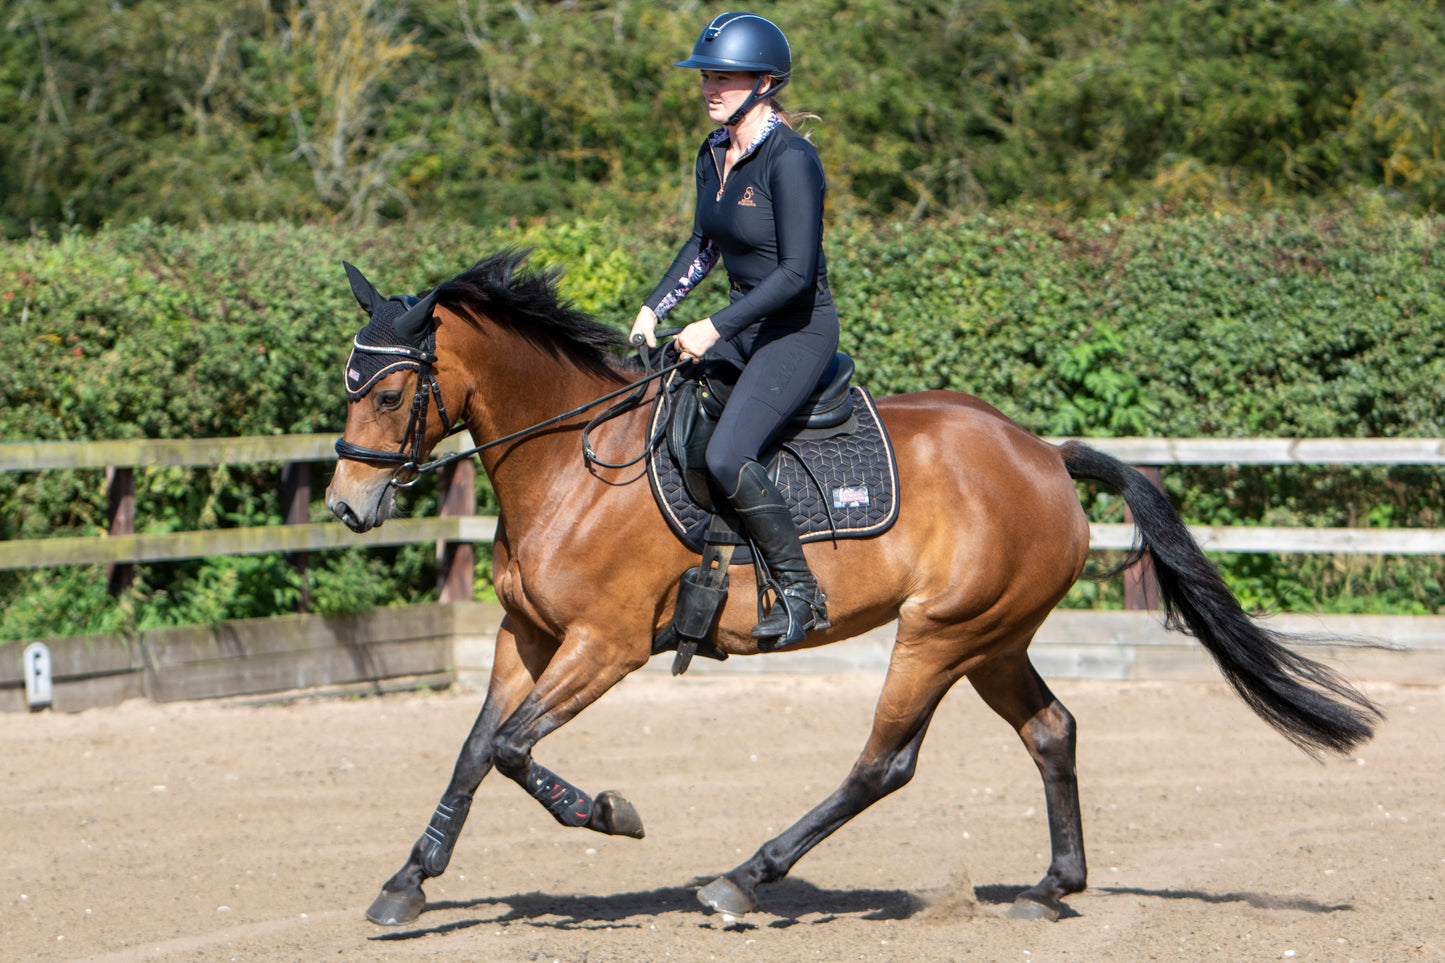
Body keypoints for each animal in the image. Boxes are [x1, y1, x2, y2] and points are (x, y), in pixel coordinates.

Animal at [325, 251, 1375, 925]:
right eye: (347, 382)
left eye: (390, 391)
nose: (344, 503)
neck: (572, 467)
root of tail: (1043, 452)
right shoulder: (528, 637)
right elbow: (474, 749)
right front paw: (408, 882)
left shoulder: (606, 644)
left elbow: (510, 747)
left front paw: (609, 813)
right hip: (992, 640)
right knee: (1050, 730)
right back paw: (1050, 888)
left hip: (939, 635)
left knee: (883, 762)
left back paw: (743, 879)